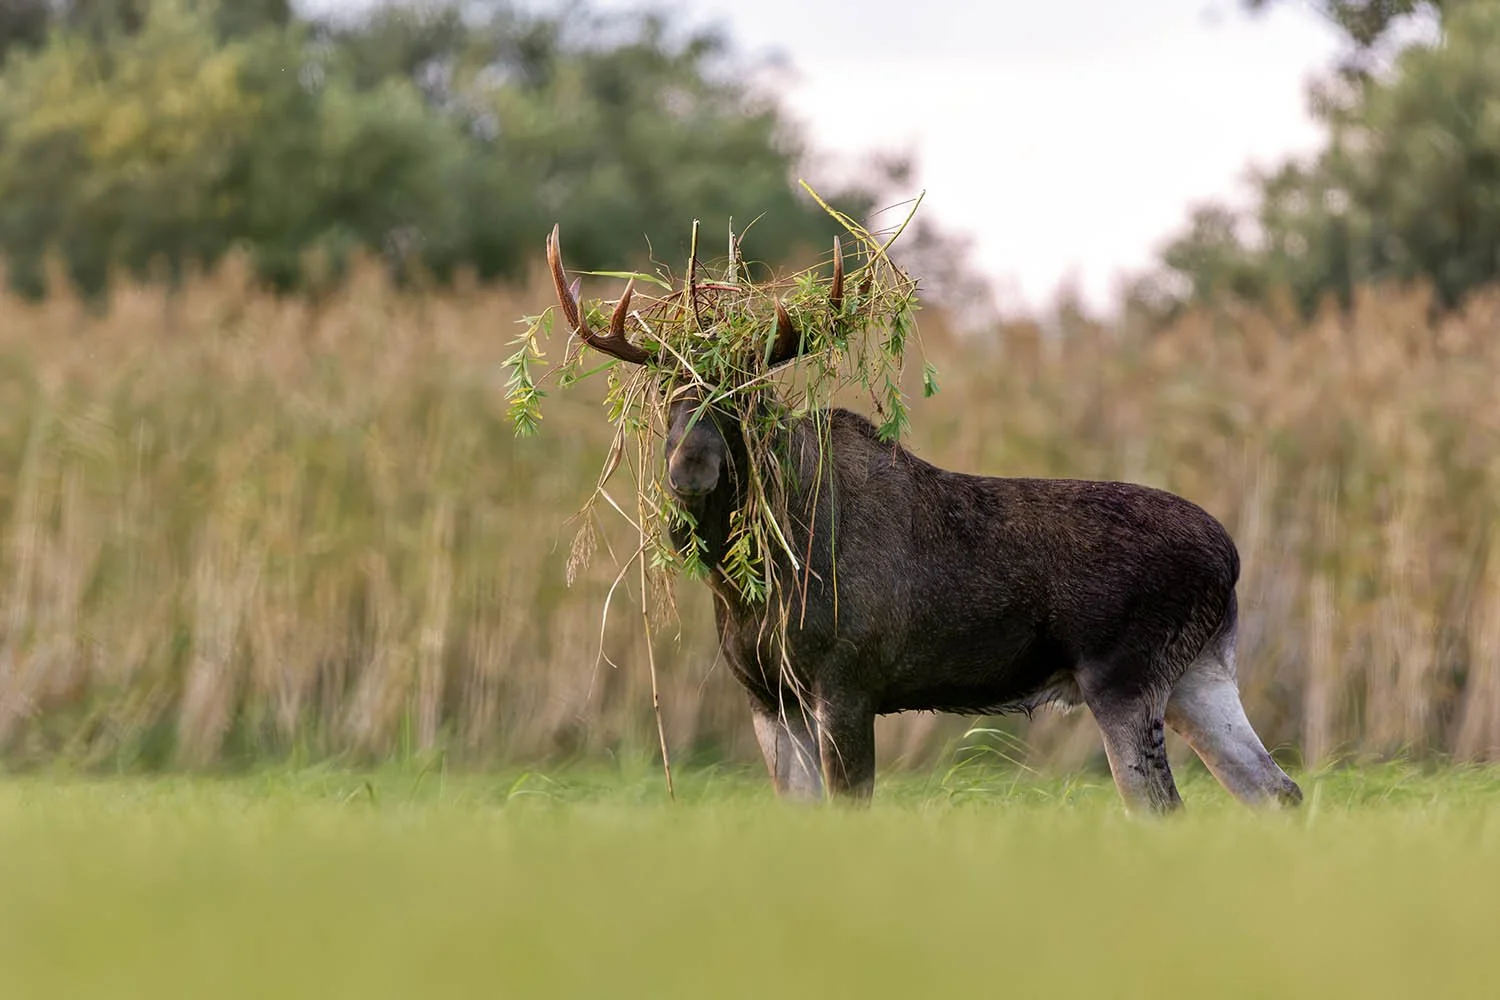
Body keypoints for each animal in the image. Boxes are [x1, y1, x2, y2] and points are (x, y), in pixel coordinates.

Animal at [545, 225, 1303, 815]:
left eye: (746, 394)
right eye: (665, 392)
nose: (691, 467)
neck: (747, 581)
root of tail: (1232, 556)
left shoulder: (849, 679)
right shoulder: (765, 695)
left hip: (1124, 673)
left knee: (1164, 805)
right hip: (1198, 672)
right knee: (1276, 789)